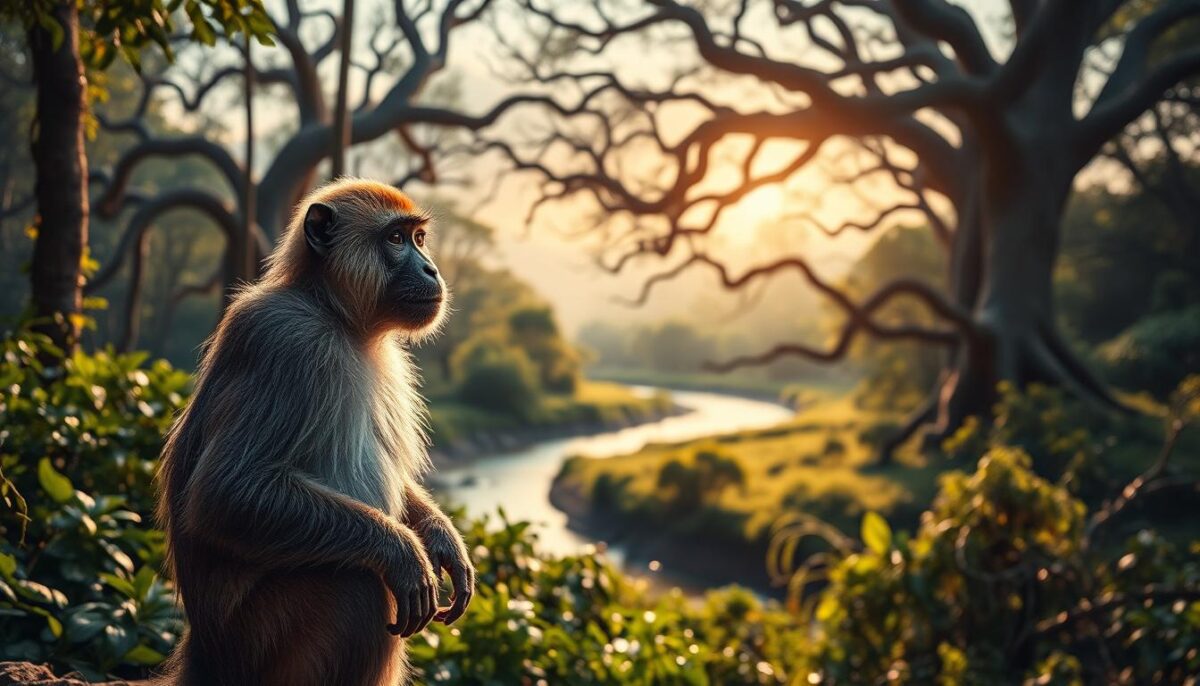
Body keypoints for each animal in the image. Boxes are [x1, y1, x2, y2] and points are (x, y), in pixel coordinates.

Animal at [154, 179, 475, 686]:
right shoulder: (288, 341)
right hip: (262, 640)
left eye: (419, 239)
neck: (334, 313)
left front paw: (442, 537)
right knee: (357, 582)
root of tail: (205, 652)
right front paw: (402, 551)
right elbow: (225, 493)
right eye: (396, 239)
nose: (431, 268)